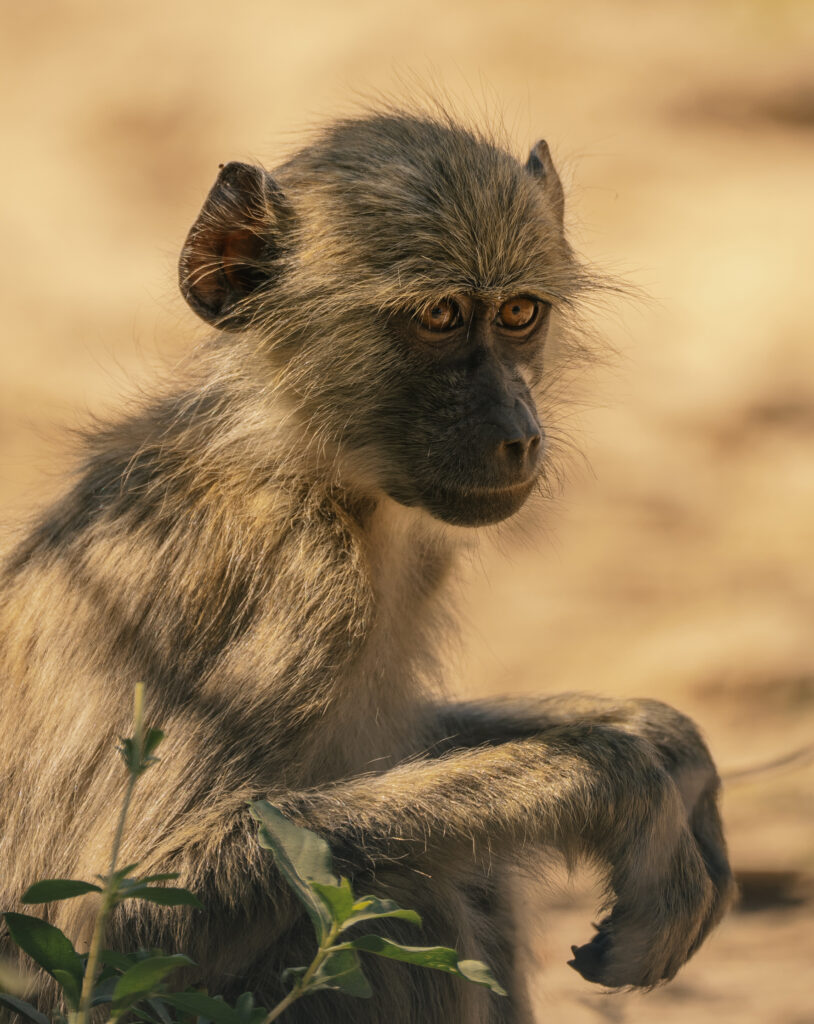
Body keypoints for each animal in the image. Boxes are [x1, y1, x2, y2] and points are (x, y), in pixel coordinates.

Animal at [0, 109, 735, 1024]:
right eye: (443, 315)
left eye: (519, 312)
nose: (518, 432)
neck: (297, 461)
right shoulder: (302, 579)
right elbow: (110, 915)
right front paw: (618, 777)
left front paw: (658, 740)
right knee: (410, 892)